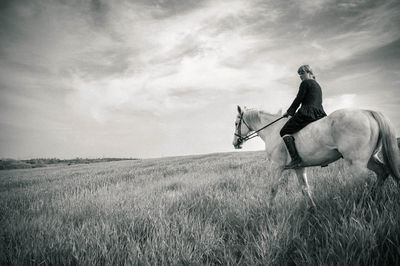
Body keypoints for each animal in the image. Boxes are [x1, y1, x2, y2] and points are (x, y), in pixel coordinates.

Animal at [233, 105, 398, 207]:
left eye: (236, 123)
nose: (235, 143)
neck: (272, 130)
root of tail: (367, 112)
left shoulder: (277, 166)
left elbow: (273, 189)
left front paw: (269, 212)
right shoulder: (299, 168)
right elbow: (305, 189)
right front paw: (312, 209)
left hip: (357, 163)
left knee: (362, 183)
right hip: (370, 159)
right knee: (382, 172)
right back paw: (374, 198)